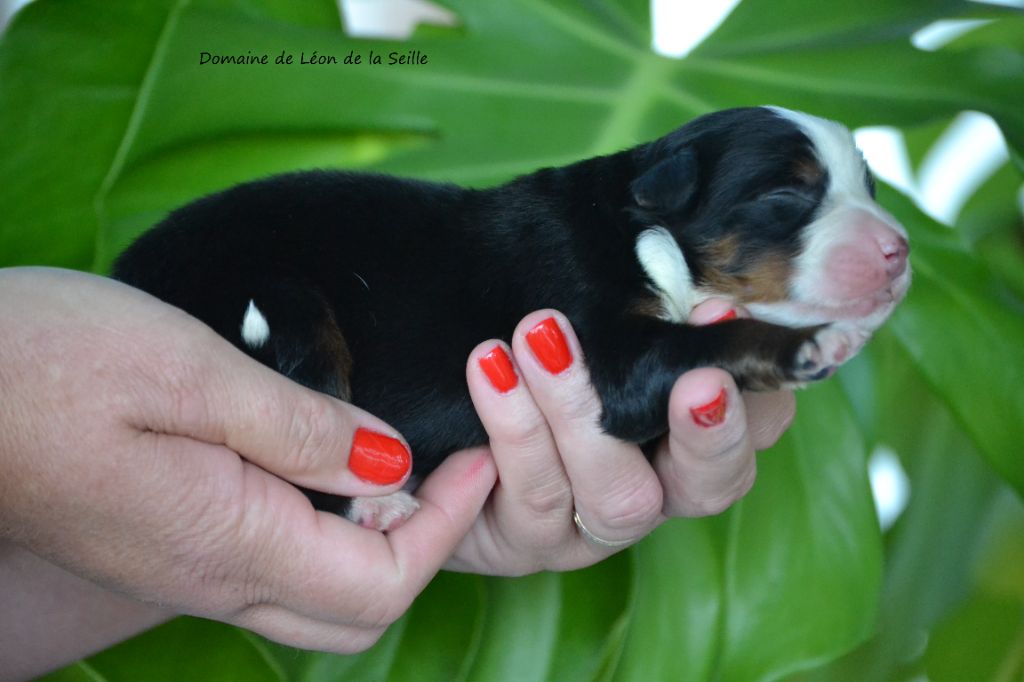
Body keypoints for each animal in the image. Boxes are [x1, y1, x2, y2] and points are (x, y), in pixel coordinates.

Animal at [114, 106, 913, 528]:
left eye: (869, 187)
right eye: (786, 195)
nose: (900, 250)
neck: (635, 222)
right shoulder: (599, 337)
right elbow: (709, 339)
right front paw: (813, 341)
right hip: (278, 297)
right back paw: (379, 505)